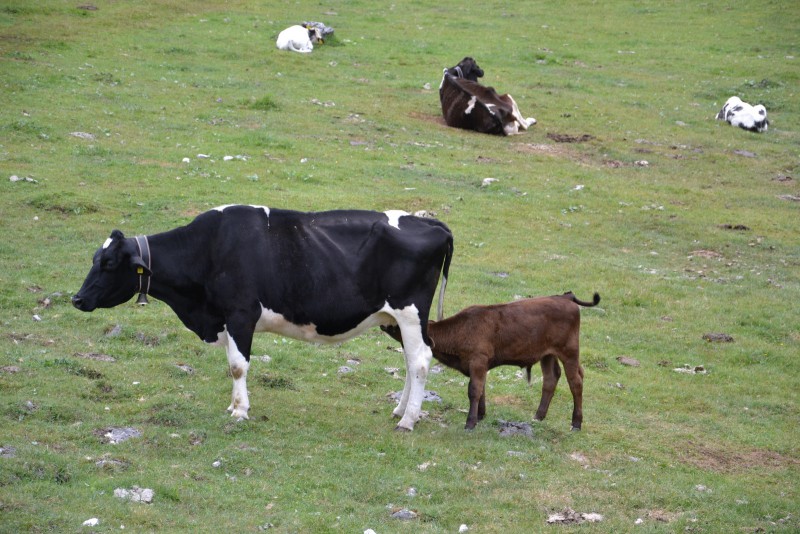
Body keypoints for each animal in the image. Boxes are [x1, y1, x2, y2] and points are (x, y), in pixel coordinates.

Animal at [72, 205, 454, 432]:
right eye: (94, 259)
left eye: (108, 263)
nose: (77, 299)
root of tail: (429, 221)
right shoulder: (226, 319)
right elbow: (232, 363)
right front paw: (232, 405)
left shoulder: (241, 313)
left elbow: (238, 365)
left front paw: (240, 411)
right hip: (394, 319)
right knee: (411, 361)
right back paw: (400, 410)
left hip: (409, 311)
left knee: (421, 360)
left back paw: (408, 420)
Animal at [382, 292, 600, 434]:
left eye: (400, 326)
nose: (385, 323)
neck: (461, 331)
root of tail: (565, 297)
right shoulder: (480, 365)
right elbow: (481, 389)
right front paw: (480, 415)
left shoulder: (478, 361)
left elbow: (474, 390)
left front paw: (470, 423)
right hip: (547, 355)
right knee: (551, 379)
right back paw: (539, 416)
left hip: (569, 352)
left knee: (575, 382)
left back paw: (576, 423)